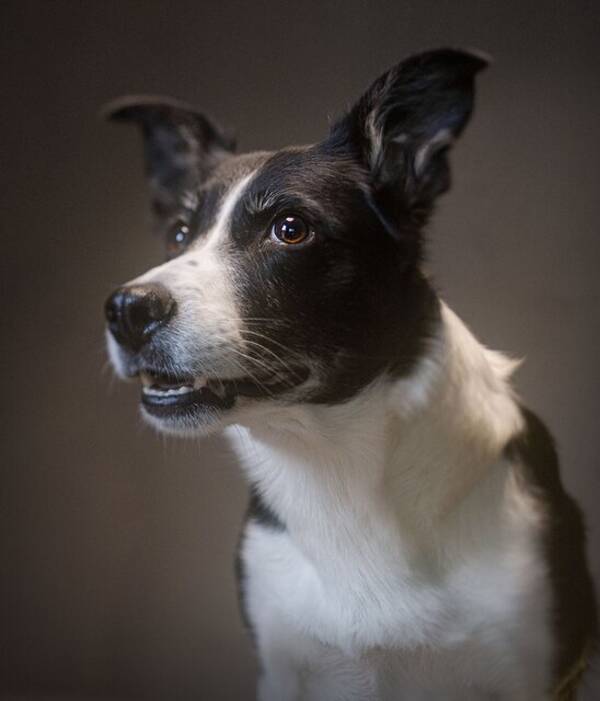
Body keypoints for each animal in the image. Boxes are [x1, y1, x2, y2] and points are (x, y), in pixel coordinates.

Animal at [103, 46, 596, 696]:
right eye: (179, 235)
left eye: (290, 229)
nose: (127, 310)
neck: (336, 464)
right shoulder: (283, 662)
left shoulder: (536, 668)